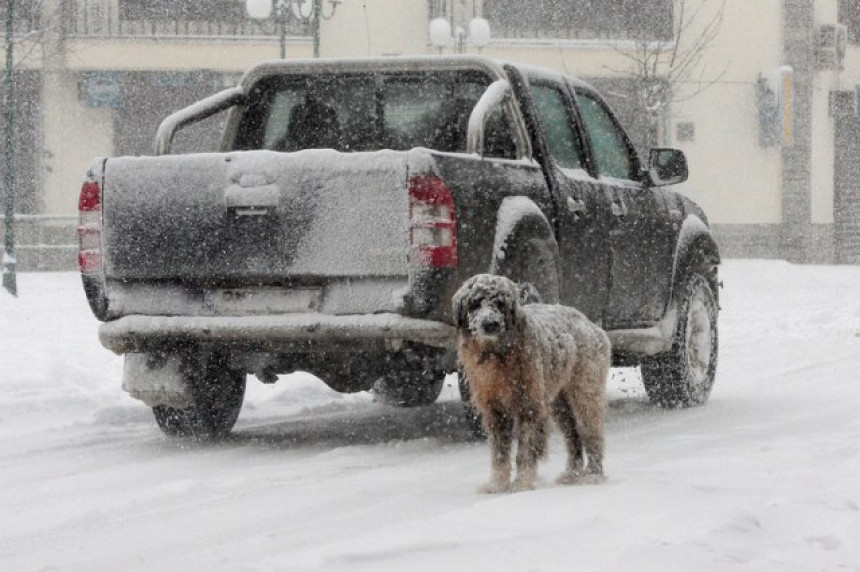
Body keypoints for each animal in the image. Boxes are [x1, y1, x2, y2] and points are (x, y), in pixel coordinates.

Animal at [450, 272, 612, 492]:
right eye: (475, 304)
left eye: (500, 303)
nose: (490, 324)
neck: (497, 355)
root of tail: (589, 323)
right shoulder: (495, 410)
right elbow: (500, 453)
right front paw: (497, 484)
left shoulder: (529, 406)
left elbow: (525, 450)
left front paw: (522, 483)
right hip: (559, 405)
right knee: (573, 436)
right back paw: (572, 473)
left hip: (585, 393)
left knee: (591, 432)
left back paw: (594, 474)